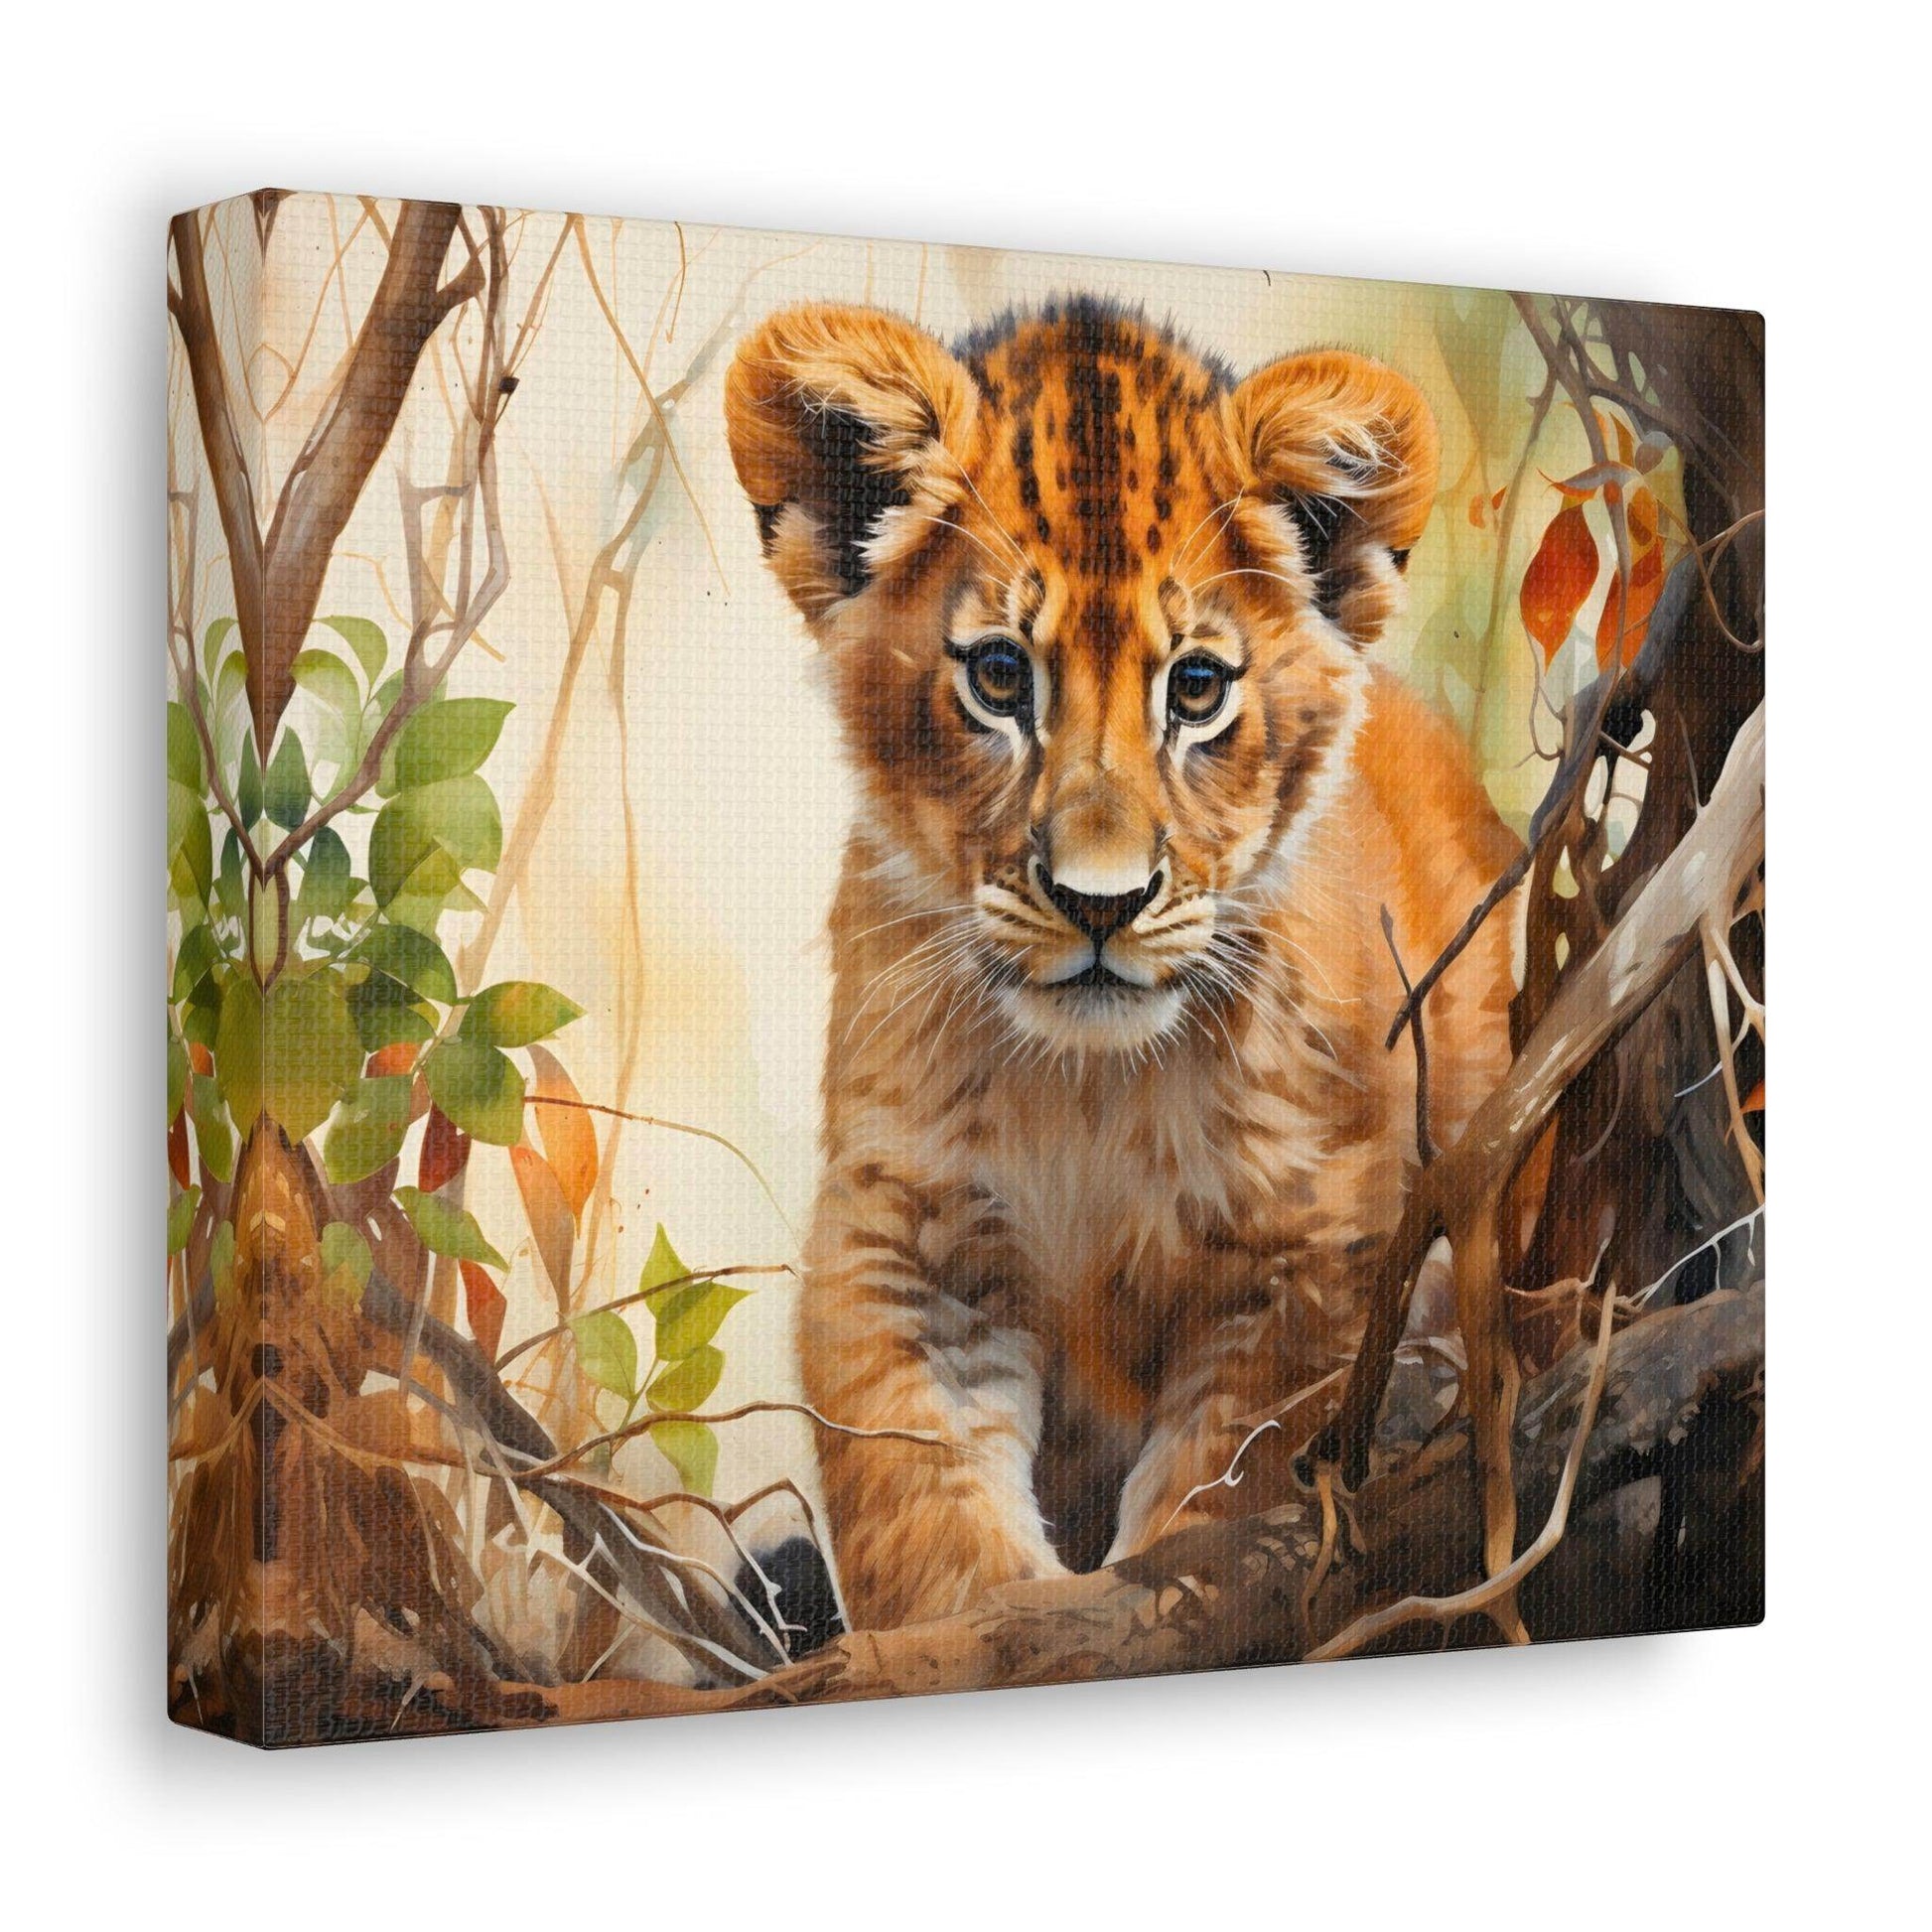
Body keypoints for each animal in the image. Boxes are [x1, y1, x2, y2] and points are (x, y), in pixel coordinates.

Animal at [724, 295, 1521, 1630]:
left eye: (1194, 688)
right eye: (999, 675)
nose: (1100, 905)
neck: (1088, 1086)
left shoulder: (1308, 1249)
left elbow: (1221, 1494)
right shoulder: (906, 1232)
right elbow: (921, 1510)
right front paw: (993, 1621)